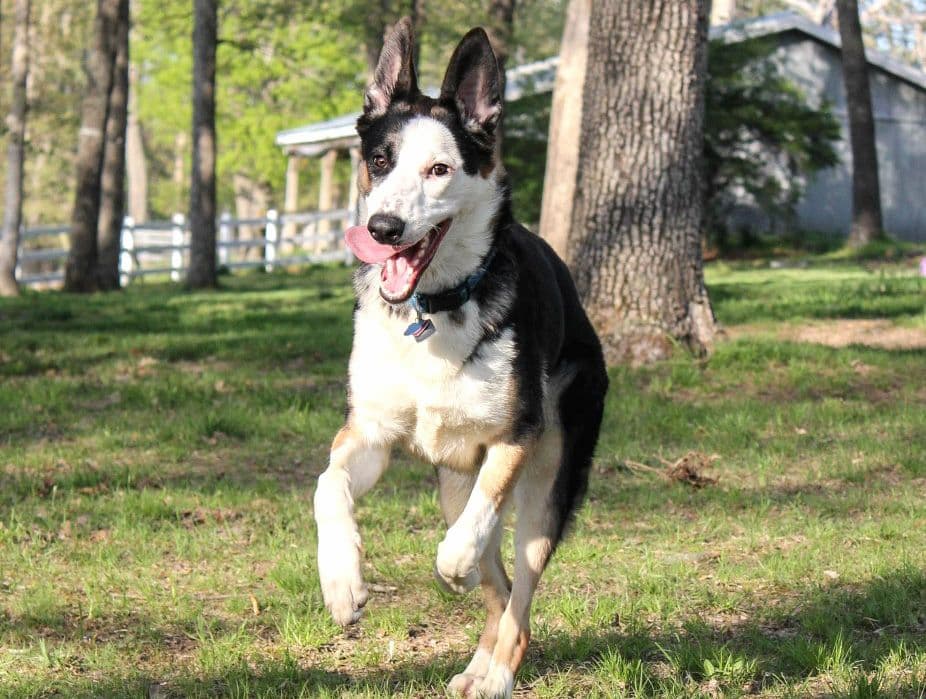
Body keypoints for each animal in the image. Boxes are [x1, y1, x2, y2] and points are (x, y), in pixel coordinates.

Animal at [316, 19, 612, 696]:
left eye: (439, 169)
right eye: (379, 161)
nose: (383, 228)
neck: (433, 309)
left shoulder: (515, 436)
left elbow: (471, 532)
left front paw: (451, 563)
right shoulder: (368, 435)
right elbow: (327, 486)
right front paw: (342, 584)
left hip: (547, 487)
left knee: (518, 595)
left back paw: (498, 672)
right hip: (451, 480)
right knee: (496, 591)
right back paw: (478, 666)